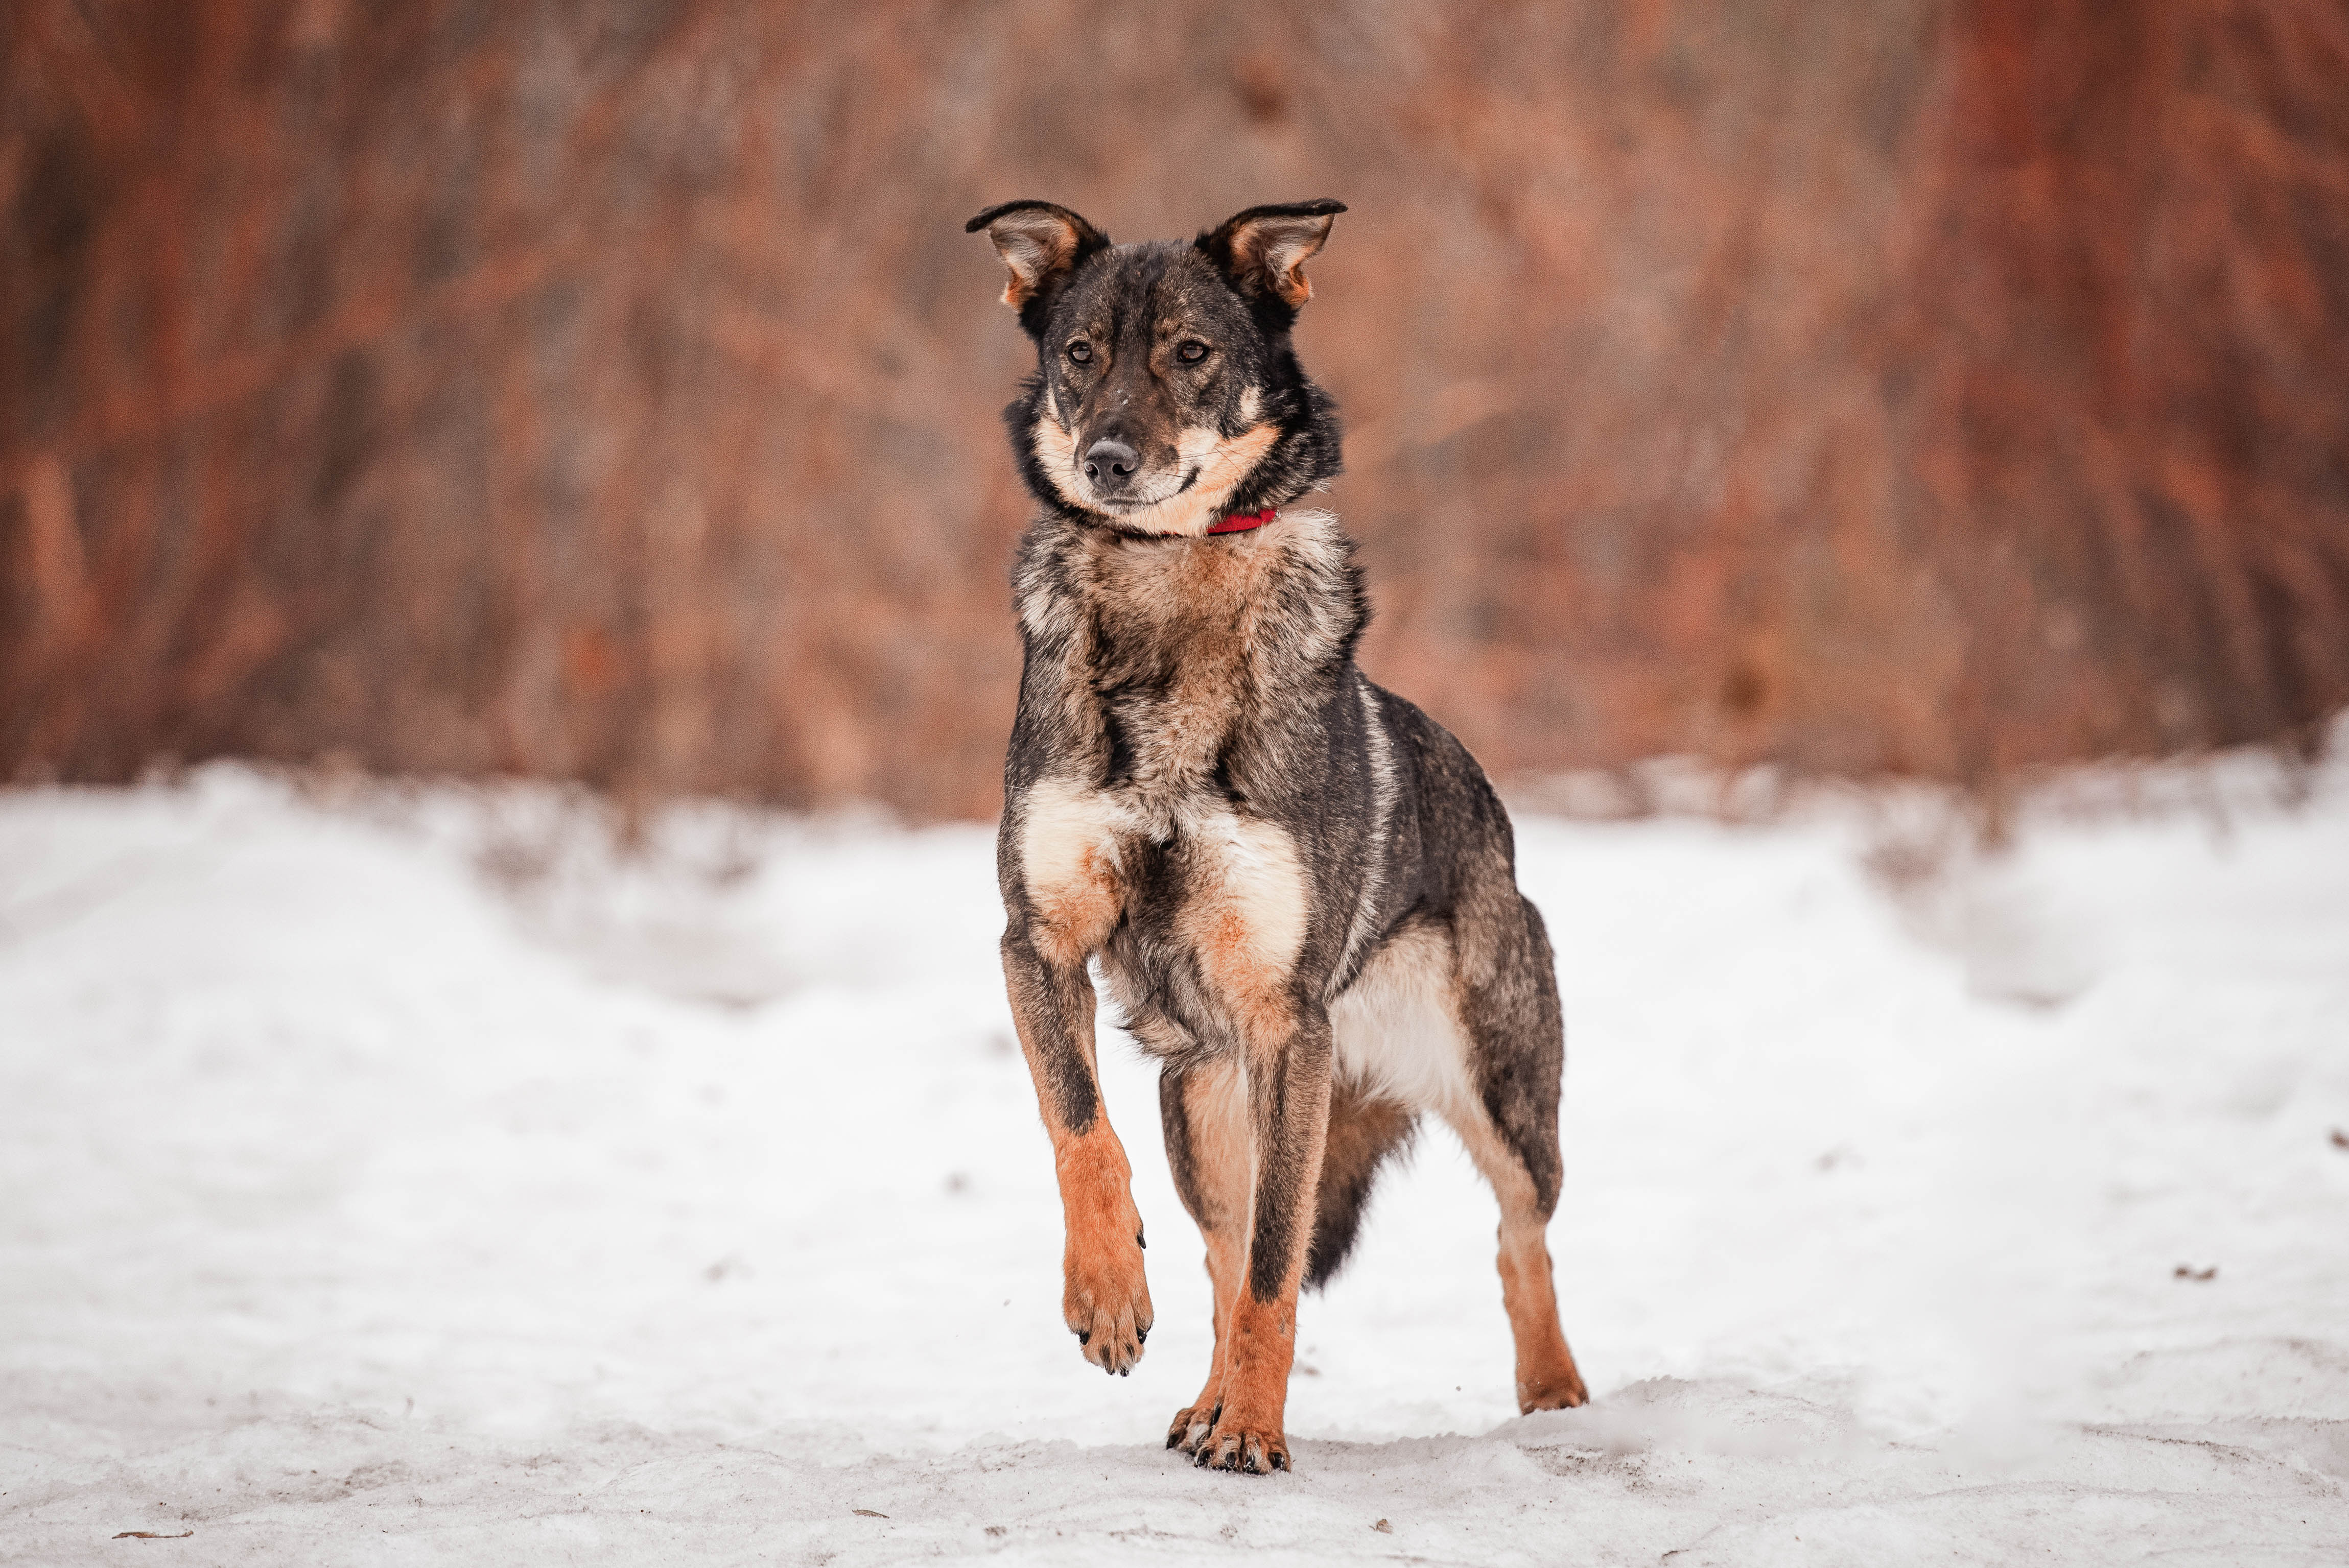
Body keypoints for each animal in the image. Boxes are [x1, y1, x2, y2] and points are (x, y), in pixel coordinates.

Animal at [963, 196, 1588, 1474]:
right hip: (1203, 1108)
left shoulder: (1282, 1020)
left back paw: (1553, 1396)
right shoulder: (1036, 942)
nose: (1108, 459)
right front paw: (1108, 1296)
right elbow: (1079, 1128)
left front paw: (1255, 1431)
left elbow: (1272, 1270)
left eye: (1192, 353)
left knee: (1516, 1238)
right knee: (1217, 1248)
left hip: (1498, 1093)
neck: (1163, 583)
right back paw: (1199, 1401)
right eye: (1079, 354)